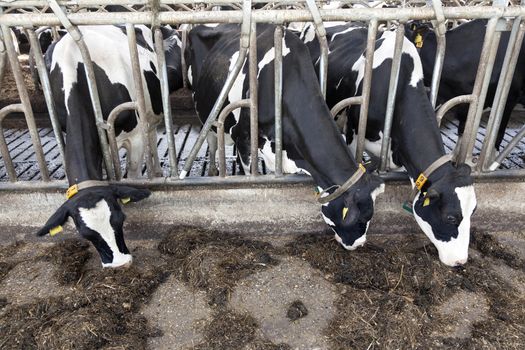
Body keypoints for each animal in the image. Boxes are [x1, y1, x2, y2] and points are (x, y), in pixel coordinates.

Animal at [36, 25, 182, 268]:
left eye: (120, 218)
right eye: (85, 234)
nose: (120, 264)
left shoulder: (135, 136)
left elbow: (133, 173)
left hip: (151, 112)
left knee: (152, 135)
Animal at [186, 23, 382, 249]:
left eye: (371, 216)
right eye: (357, 218)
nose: (358, 245)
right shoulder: (242, 137)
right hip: (206, 112)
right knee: (211, 140)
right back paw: (212, 169)